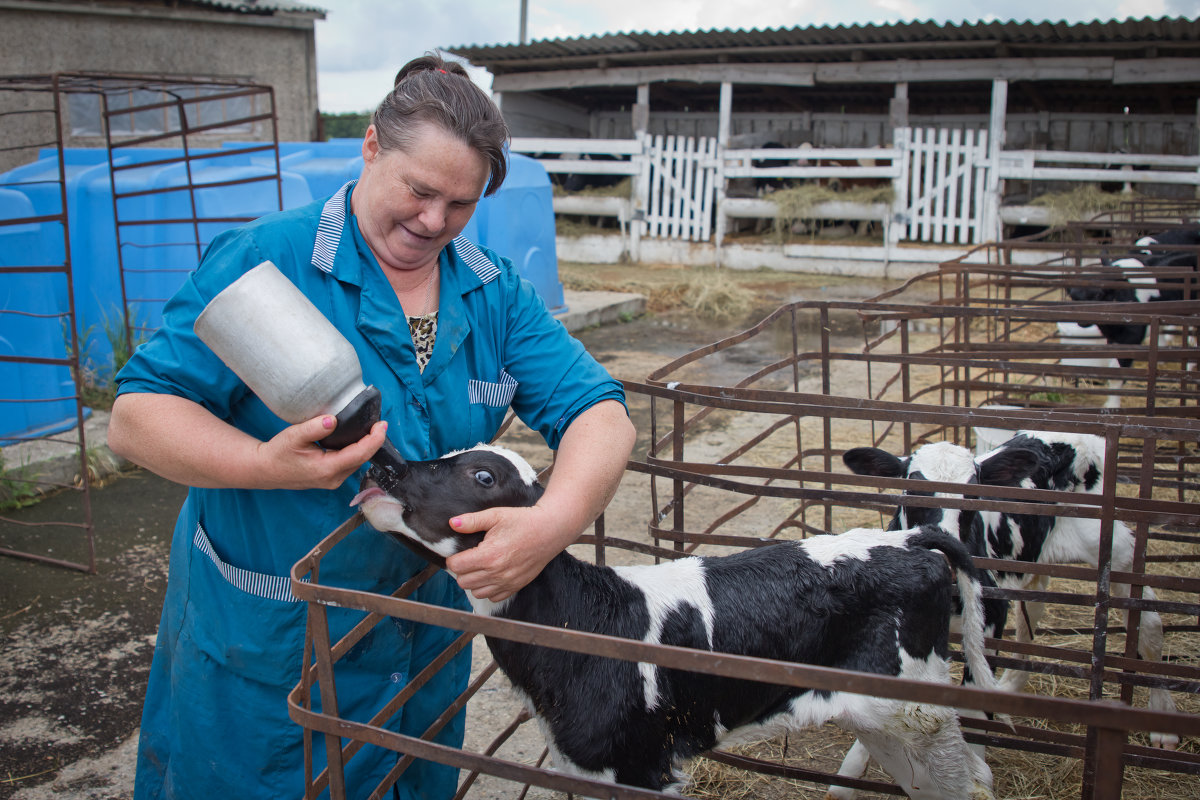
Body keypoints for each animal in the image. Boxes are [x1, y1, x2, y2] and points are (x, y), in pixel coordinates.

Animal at [355, 443, 1003, 800]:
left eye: (483, 477)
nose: (386, 467)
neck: (581, 625)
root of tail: (911, 540)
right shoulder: (584, 767)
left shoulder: (640, 766)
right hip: (884, 718)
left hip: (916, 712)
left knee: (971, 781)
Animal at [840, 431, 1176, 753]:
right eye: (912, 490)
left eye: (973, 494)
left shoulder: (989, 617)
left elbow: (973, 709)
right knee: (1029, 623)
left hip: (1117, 553)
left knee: (1149, 620)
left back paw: (1164, 724)